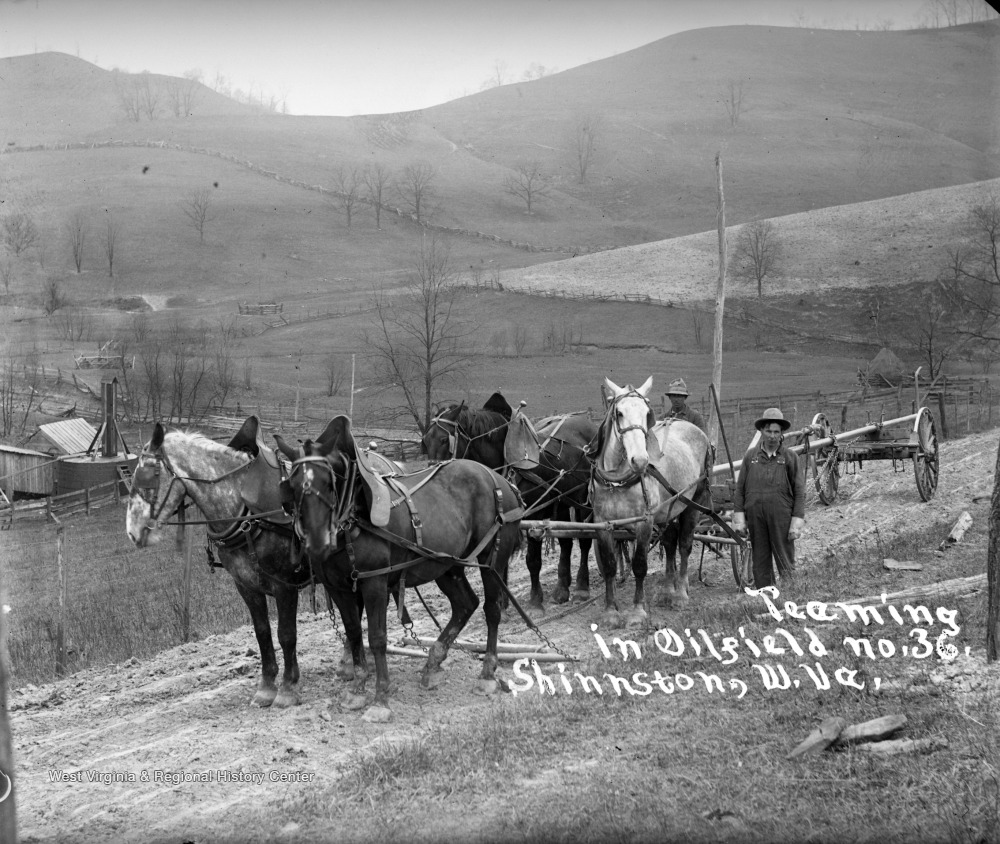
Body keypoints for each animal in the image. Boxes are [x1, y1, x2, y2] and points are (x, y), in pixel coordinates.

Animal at [275, 415, 523, 716]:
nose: (317, 544)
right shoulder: (339, 588)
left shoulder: (375, 582)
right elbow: (354, 633)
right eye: (293, 484)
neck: (355, 515)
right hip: (446, 564)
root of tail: (500, 480)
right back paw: (432, 663)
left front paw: (380, 698)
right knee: (465, 604)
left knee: (491, 609)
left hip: (491, 561)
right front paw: (357, 689)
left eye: (329, 481)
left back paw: (487, 673)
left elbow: (377, 638)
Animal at [422, 392, 598, 609]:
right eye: (425, 440)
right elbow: (500, 562)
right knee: (566, 542)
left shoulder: (534, 517)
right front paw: (502, 602)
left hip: (584, 500)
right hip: (562, 502)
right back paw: (562, 588)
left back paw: (582, 587)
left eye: (443, 439)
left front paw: (535, 600)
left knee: (585, 539)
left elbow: (533, 560)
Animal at [588, 377, 713, 626]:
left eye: (647, 413)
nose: (640, 460)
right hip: (668, 510)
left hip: (694, 502)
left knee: (684, 545)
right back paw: (667, 590)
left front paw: (637, 611)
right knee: (670, 544)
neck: (618, 482)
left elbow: (639, 565)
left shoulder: (644, 523)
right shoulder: (603, 524)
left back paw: (681, 592)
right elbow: (609, 566)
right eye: (619, 413)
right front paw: (610, 612)